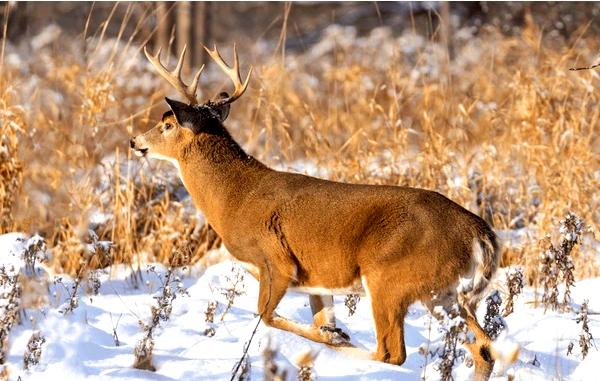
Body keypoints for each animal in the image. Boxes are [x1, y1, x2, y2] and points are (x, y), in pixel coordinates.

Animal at [131, 43, 506, 378]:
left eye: (167, 124)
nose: (135, 141)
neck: (233, 198)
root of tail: (478, 231)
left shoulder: (276, 261)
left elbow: (264, 315)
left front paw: (335, 337)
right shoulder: (317, 283)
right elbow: (315, 317)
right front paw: (331, 331)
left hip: (390, 277)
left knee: (392, 352)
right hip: (443, 293)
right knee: (483, 348)